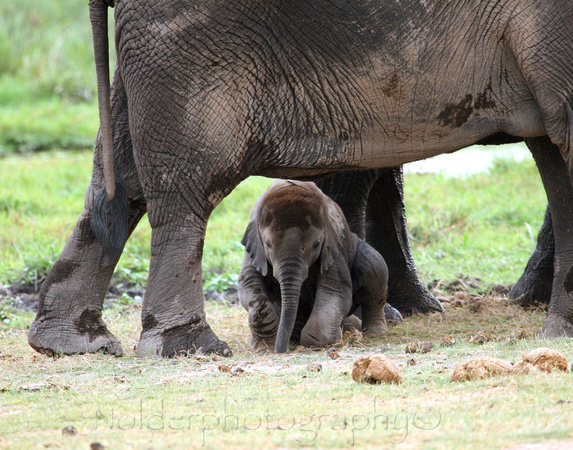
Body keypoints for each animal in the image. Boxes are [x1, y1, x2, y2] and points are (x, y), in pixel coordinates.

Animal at [237, 180, 388, 356]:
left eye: (316, 245)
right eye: (268, 244)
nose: (283, 350)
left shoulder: (333, 249)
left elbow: (334, 290)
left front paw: (328, 341)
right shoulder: (254, 248)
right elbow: (249, 282)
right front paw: (263, 322)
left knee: (373, 265)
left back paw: (374, 332)